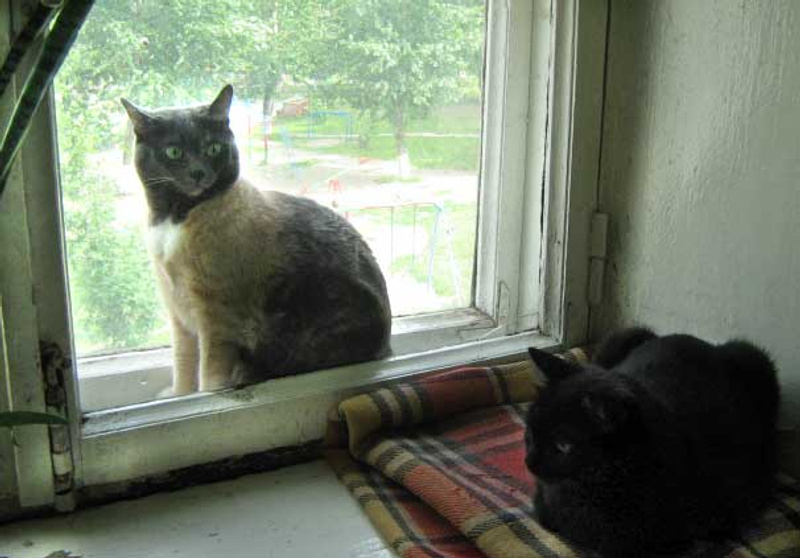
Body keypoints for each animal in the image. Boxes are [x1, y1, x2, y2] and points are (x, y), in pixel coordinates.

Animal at [120, 85, 392, 395]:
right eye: (174, 152)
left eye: (212, 148)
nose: (198, 173)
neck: (174, 219)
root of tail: (386, 348)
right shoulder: (178, 315)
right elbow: (184, 368)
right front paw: (181, 395)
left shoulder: (215, 321)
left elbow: (209, 376)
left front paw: (208, 394)